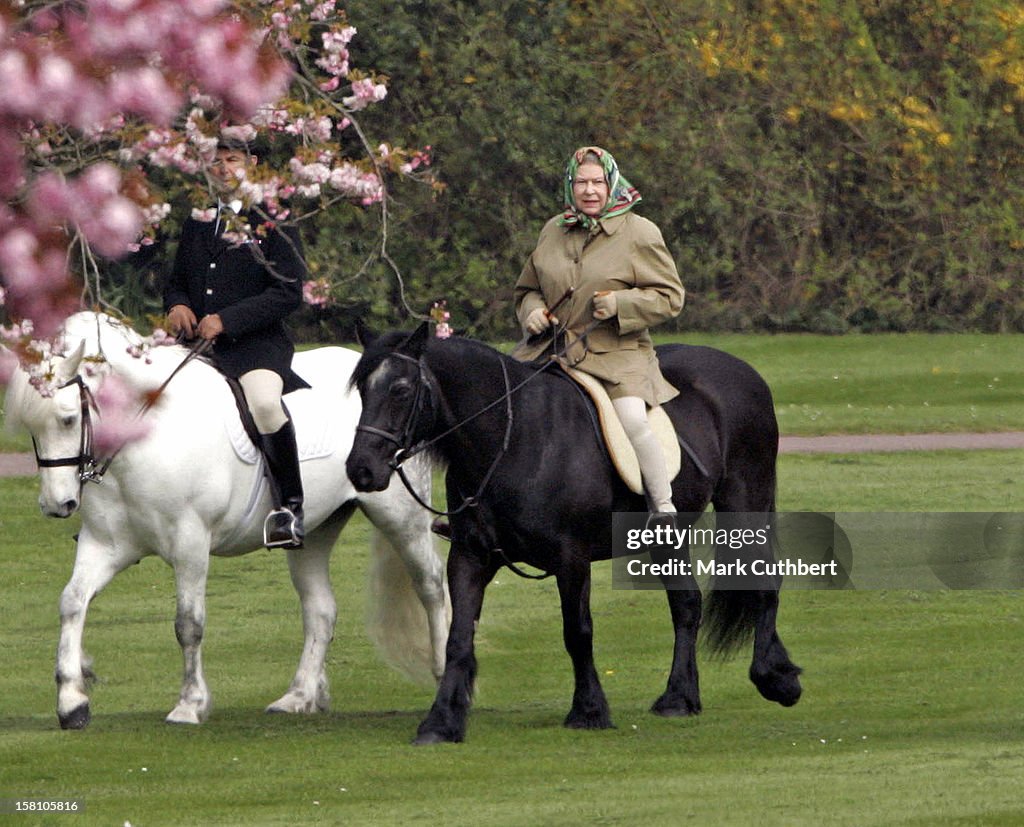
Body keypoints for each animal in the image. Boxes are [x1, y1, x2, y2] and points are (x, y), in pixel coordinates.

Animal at [4, 311, 448, 728]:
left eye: (67, 418)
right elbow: (72, 603)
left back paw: (444, 670)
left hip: (401, 518)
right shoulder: (105, 546)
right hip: (315, 532)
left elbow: (188, 624)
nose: (57, 504)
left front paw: (189, 704)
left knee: (430, 585)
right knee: (321, 610)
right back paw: (299, 696)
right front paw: (72, 702)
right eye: (32, 427)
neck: (143, 440)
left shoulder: (190, 544)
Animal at [348, 325, 802, 745]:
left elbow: (577, 631)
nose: (361, 470)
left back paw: (775, 677)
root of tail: (743, 371)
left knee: (764, 584)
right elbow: (458, 637)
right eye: (362, 392)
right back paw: (679, 698)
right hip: (665, 539)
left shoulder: (571, 559)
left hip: (745, 503)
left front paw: (589, 711)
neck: (515, 438)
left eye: (401, 389)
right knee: (687, 605)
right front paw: (441, 722)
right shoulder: (471, 556)